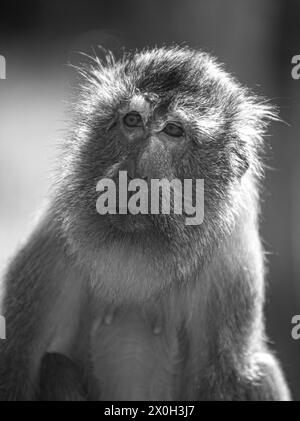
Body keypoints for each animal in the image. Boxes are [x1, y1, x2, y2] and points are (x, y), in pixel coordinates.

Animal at [0, 46, 290, 400]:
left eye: (173, 131)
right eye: (133, 121)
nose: (136, 169)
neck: (139, 248)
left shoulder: (231, 264)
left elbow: (227, 375)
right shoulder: (54, 238)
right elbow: (16, 359)